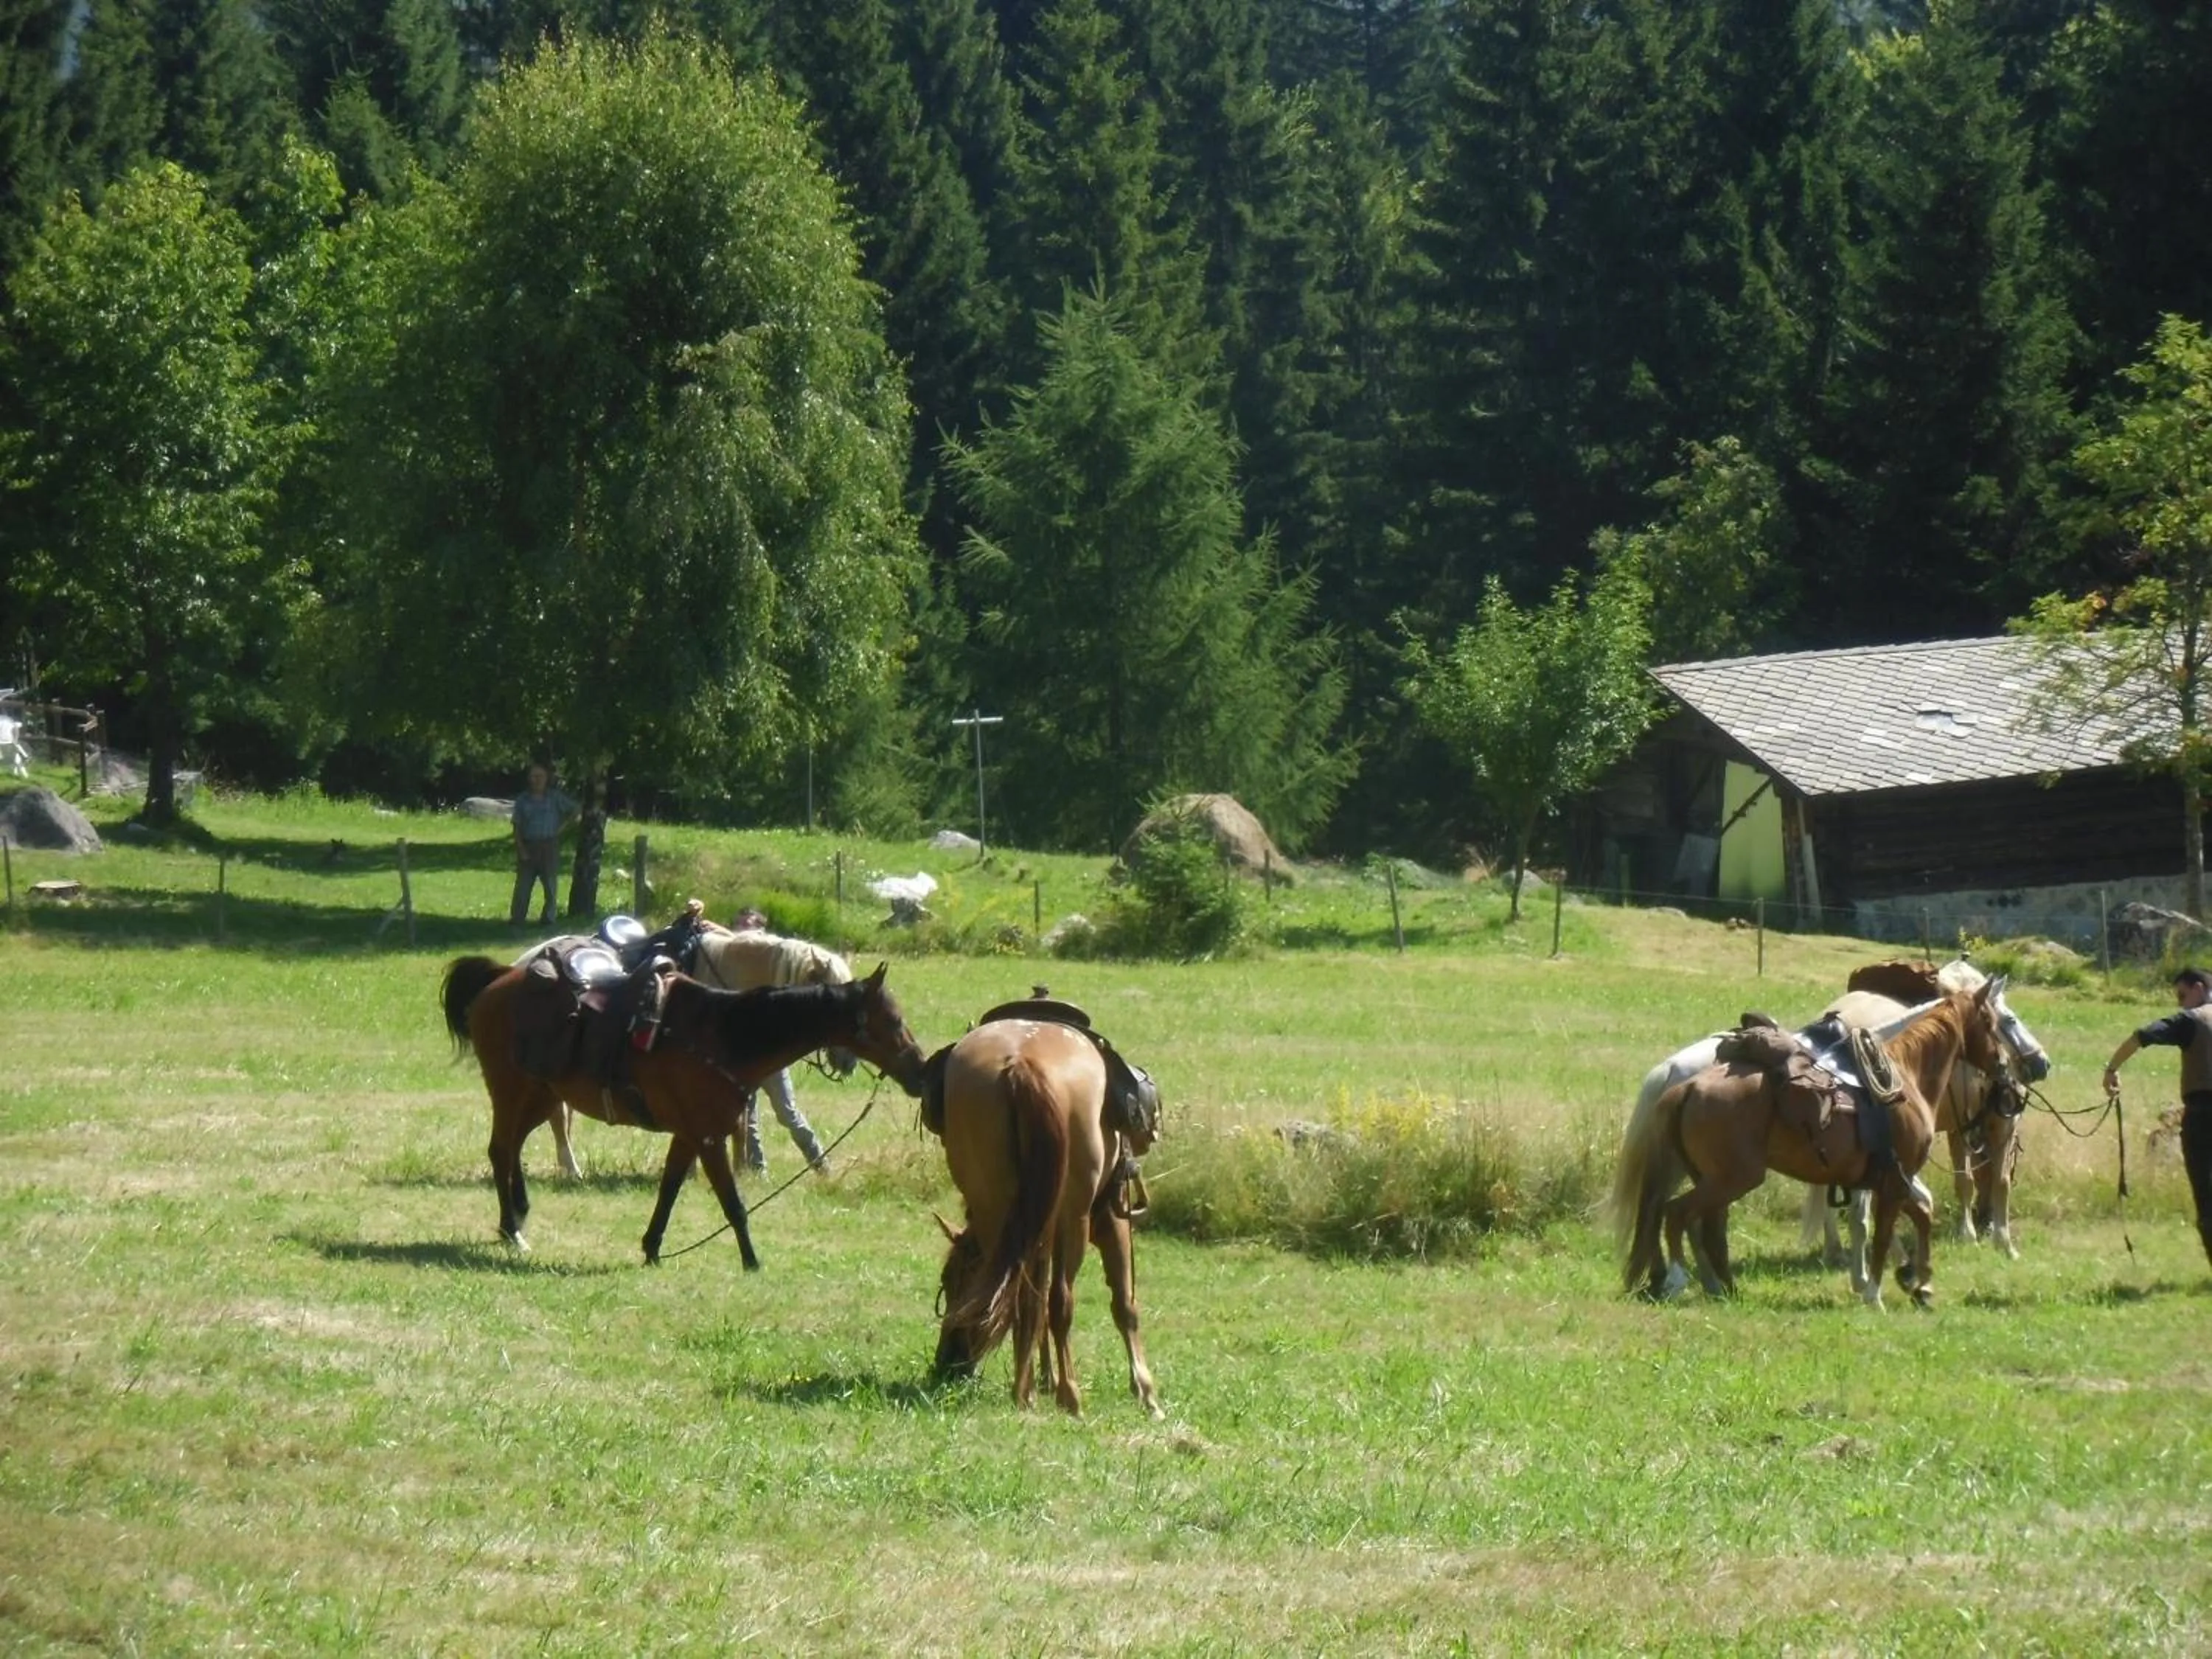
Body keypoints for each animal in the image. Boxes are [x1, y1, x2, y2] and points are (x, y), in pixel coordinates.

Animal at [441, 955, 927, 1268]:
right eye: (894, 1021)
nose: (921, 1070)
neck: (725, 1037)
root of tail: (499, 980)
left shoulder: (688, 1135)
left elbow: (669, 1189)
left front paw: (653, 1247)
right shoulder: (708, 1137)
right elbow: (733, 1203)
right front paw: (752, 1261)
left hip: (541, 1095)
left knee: (513, 1149)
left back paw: (515, 1219)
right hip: (511, 1090)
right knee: (501, 1150)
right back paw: (513, 1228)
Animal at [930, 1018, 1164, 1418]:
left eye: (953, 1281)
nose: (946, 1364)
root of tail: (1022, 1063)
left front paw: (1044, 1379)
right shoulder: (1111, 1220)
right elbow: (1124, 1304)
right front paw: (1146, 1392)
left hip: (1000, 1213)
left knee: (1020, 1298)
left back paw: (1024, 1392)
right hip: (1074, 1219)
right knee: (1058, 1303)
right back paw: (1069, 1394)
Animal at [1613, 980, 2016, 1309]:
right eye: (1998, 1022)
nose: (2006, 1067)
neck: (1904, 1075)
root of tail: (1685, 1083)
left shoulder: (1887, 1180)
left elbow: (1918, 1214)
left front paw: (1916, 1280)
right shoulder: (1891, 1180)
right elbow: (1878, 1229)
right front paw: (1874, 1289)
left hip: (1711, 1179)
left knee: (1700, 1223)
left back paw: (1718, 1286)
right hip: (1729, 1179)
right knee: (1676, 1214)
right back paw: (1678, 1280)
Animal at [1806, 960, 2052, 1263]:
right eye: (2010, 1020)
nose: (2042, 1063)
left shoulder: (1974, 1128)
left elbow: (1982, 1181)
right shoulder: (1985, 1127)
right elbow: (1984, 1182)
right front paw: (1986, 1239)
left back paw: (1836, 1249)